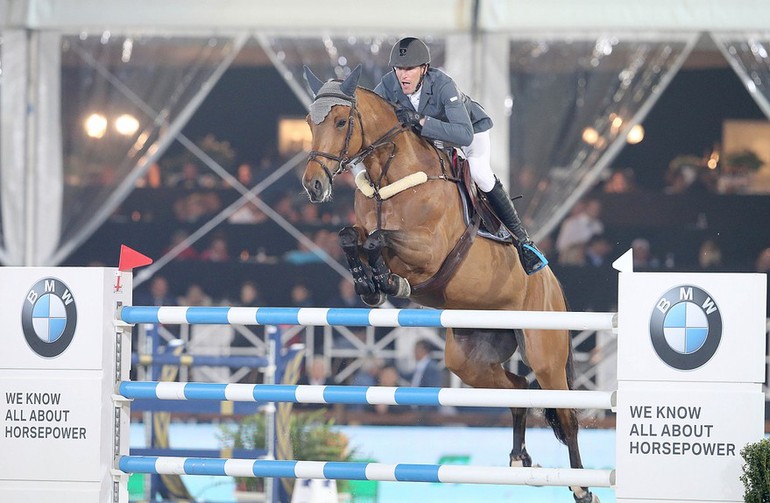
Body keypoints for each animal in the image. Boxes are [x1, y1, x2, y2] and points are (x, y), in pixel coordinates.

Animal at [302, 65, 600, 503]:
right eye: (309, 122)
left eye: (341, 122)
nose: (313, 185)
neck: (390, 178)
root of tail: (552, 282)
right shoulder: (366, 229)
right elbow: (349, 236)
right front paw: (368, 283)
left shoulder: (428, 251)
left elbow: (378, 240)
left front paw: (387, 282)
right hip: (469, 357)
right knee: (518, 388)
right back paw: (519, 459)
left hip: (544, 350)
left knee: (565, 412)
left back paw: (582, 486)